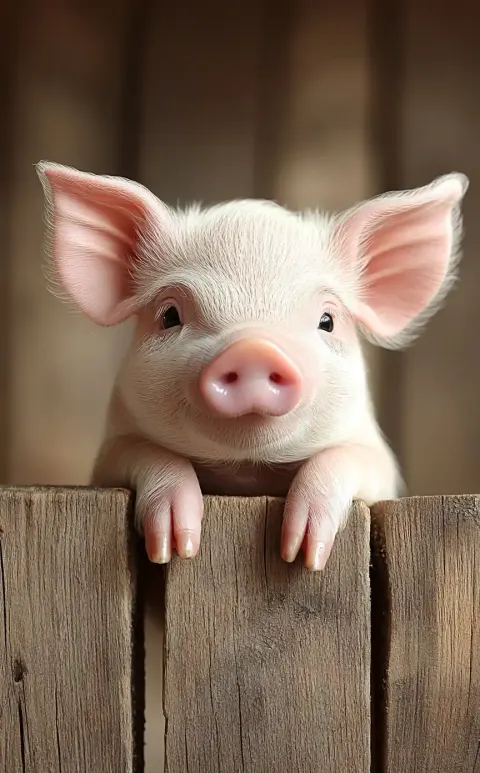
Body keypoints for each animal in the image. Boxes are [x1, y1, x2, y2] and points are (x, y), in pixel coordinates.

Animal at [36, 161, 469, 571]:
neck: (247, 474)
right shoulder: (108, 461)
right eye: (170, 315)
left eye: (327, 320)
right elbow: (147, 453)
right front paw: (173, 547)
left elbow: (346, 458)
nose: (254, 349)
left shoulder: (380, 464)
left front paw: (301, 553)